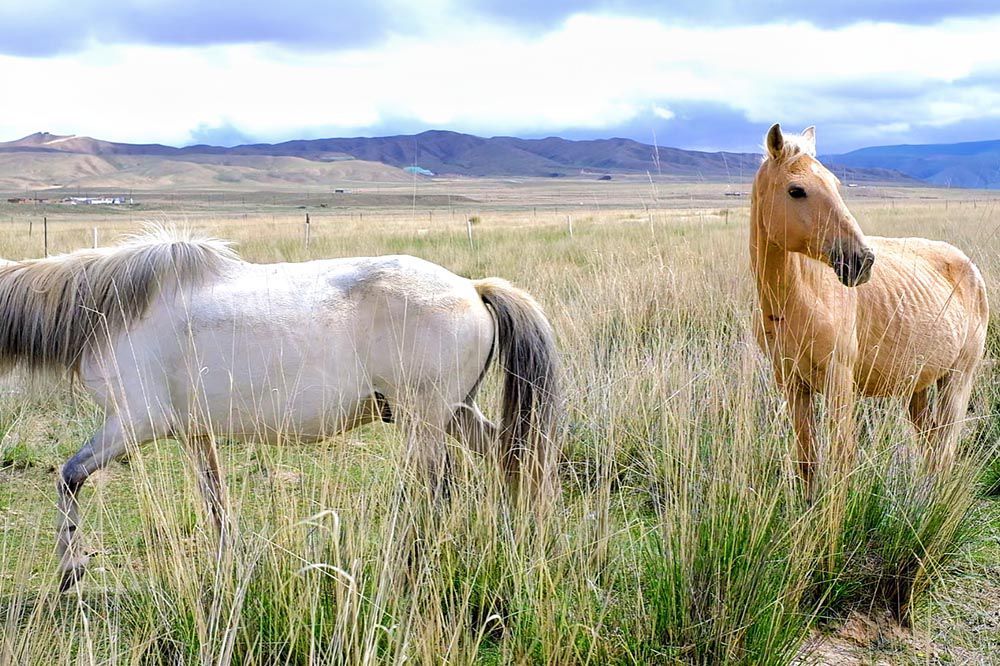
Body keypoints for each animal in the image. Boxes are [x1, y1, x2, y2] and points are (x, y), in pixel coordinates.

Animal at [0, 228, 560, 588]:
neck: (114, 309)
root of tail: (471, 287)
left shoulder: (133, 422)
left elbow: (69, 476)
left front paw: (70, 569)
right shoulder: (192, 432)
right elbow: (216, 502)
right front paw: (229, 566)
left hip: (423, 420)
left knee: (438, 489)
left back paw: (404, 563)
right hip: (454, 413)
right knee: (511, 457)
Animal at [752, 123, 988, 492]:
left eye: (836, 185)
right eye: (796, 191)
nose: (861, 261)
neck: (797, 300)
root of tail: (969, 266)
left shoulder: (839, 380)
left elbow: (841, 457)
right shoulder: (792, 384)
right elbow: (807, 461)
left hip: (958, 378)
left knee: (944, 449)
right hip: (918, 387)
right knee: (931, 446)